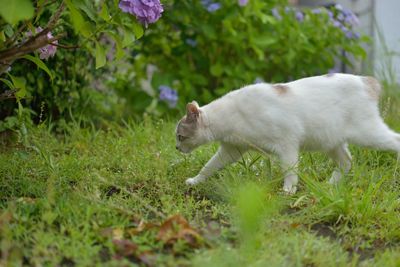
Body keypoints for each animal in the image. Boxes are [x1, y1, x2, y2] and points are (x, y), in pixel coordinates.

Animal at [176, 74, 400, 194]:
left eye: (180, 136)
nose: (177, 148)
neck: (232, 115)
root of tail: (367, 80)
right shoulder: (232, 150)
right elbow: (209, 166)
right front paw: (195, 181)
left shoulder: (287, 144)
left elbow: (290, 171)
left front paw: (288, 191)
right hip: (331, 142)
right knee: (347, 162)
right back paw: (329, 186)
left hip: (368, 134)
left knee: (395, 140)